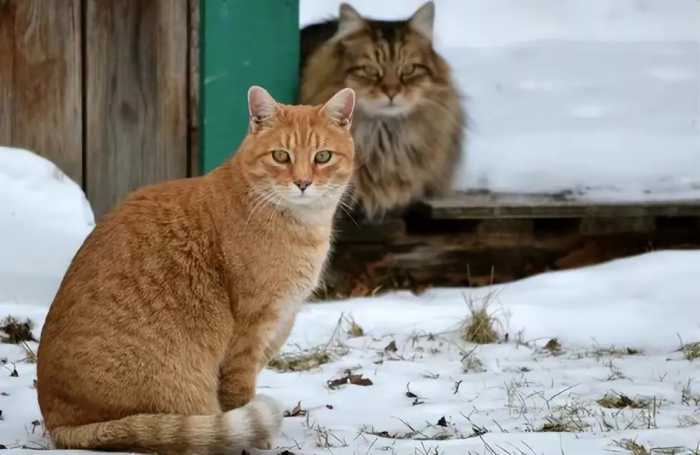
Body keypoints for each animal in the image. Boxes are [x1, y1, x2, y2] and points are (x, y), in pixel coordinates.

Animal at [37, 85, 356, 452]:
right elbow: (239, 393)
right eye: (280, 156)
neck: (301, 224)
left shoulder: (279, 324)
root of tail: (57, 422)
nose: (303, 183)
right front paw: (259, 441)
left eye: (322, 157)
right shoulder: (249, 333)